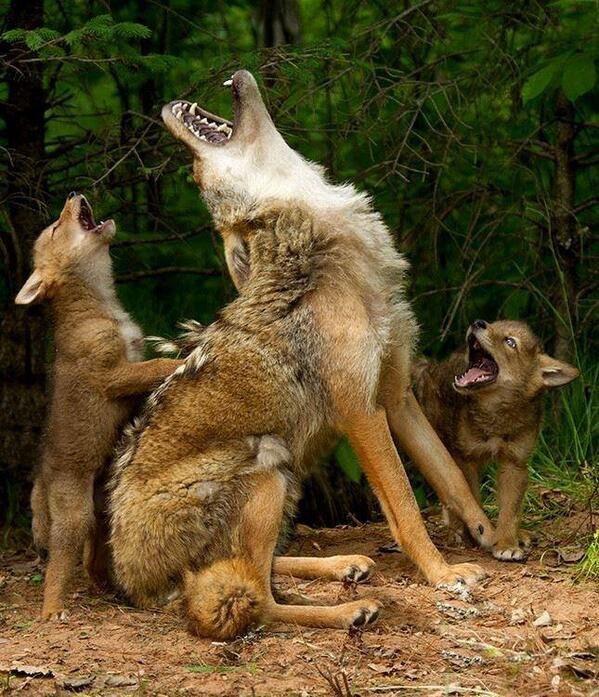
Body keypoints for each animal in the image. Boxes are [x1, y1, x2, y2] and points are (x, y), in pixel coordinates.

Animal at [15, 193, 182, 619]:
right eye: (55, 229)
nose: (74, 194)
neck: (102, 305)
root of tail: (42, 479)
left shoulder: (129, 368)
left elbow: (150, 368)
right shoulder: (112, 376)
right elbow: (157, 366)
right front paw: (182, 357)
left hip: (102, 513)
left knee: (93, 563)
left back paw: (114, 592)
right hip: (74, 518)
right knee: (59, 567)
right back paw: (54, 611)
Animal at [108, 70, 495, 639]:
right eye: (198, 179)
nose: (188, 164)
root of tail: (128, 581)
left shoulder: (396, 394)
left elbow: (448, 474)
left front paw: (489, 532)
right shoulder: (361, 412)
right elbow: (405, 508)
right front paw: (443, 573)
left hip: (286, 478)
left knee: (266, 567)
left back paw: (345, 566)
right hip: (268, 467)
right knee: (257, 600)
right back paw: (351, 610)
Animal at [412, 319, 579, 560]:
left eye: (510, 342)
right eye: (492, 324)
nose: (478, 322)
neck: (497, 416)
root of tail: (433, 366)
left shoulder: (514, 464)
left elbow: (510, 512)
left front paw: (507, 542)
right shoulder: (467, 459)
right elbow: (472, 499)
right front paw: (479, 535)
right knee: (447, 490)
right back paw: (456, 531)